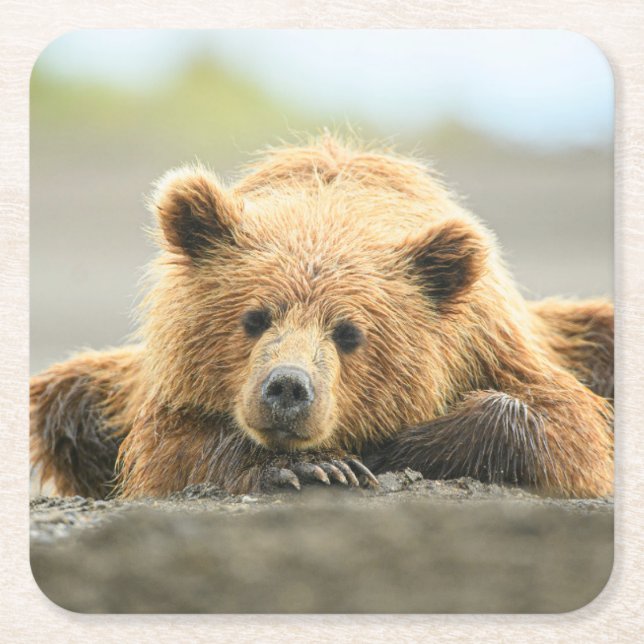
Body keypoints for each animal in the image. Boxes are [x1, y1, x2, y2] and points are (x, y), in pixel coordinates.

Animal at [30, 136, 614, 500]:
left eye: (350, 332)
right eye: (254, 317)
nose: (287, 387)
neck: (330, 205)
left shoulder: (493, 344)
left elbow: (564, 427)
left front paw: (390, 448)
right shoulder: (166, 387)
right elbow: (167, 451)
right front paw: (314, 465)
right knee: (67, 398)